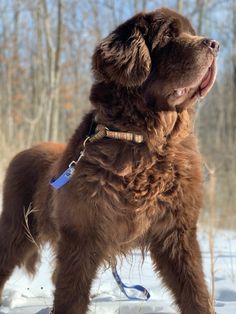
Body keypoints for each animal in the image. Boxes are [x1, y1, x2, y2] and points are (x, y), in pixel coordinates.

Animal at [0, 6, 219, 314]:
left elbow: (195, 291)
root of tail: (26, 149)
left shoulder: (177, 232)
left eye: (191, 32)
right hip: (15, 229)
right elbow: (71, 296)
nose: (214, 44)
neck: (144, 142)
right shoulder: (81, 235)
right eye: (169, 35)